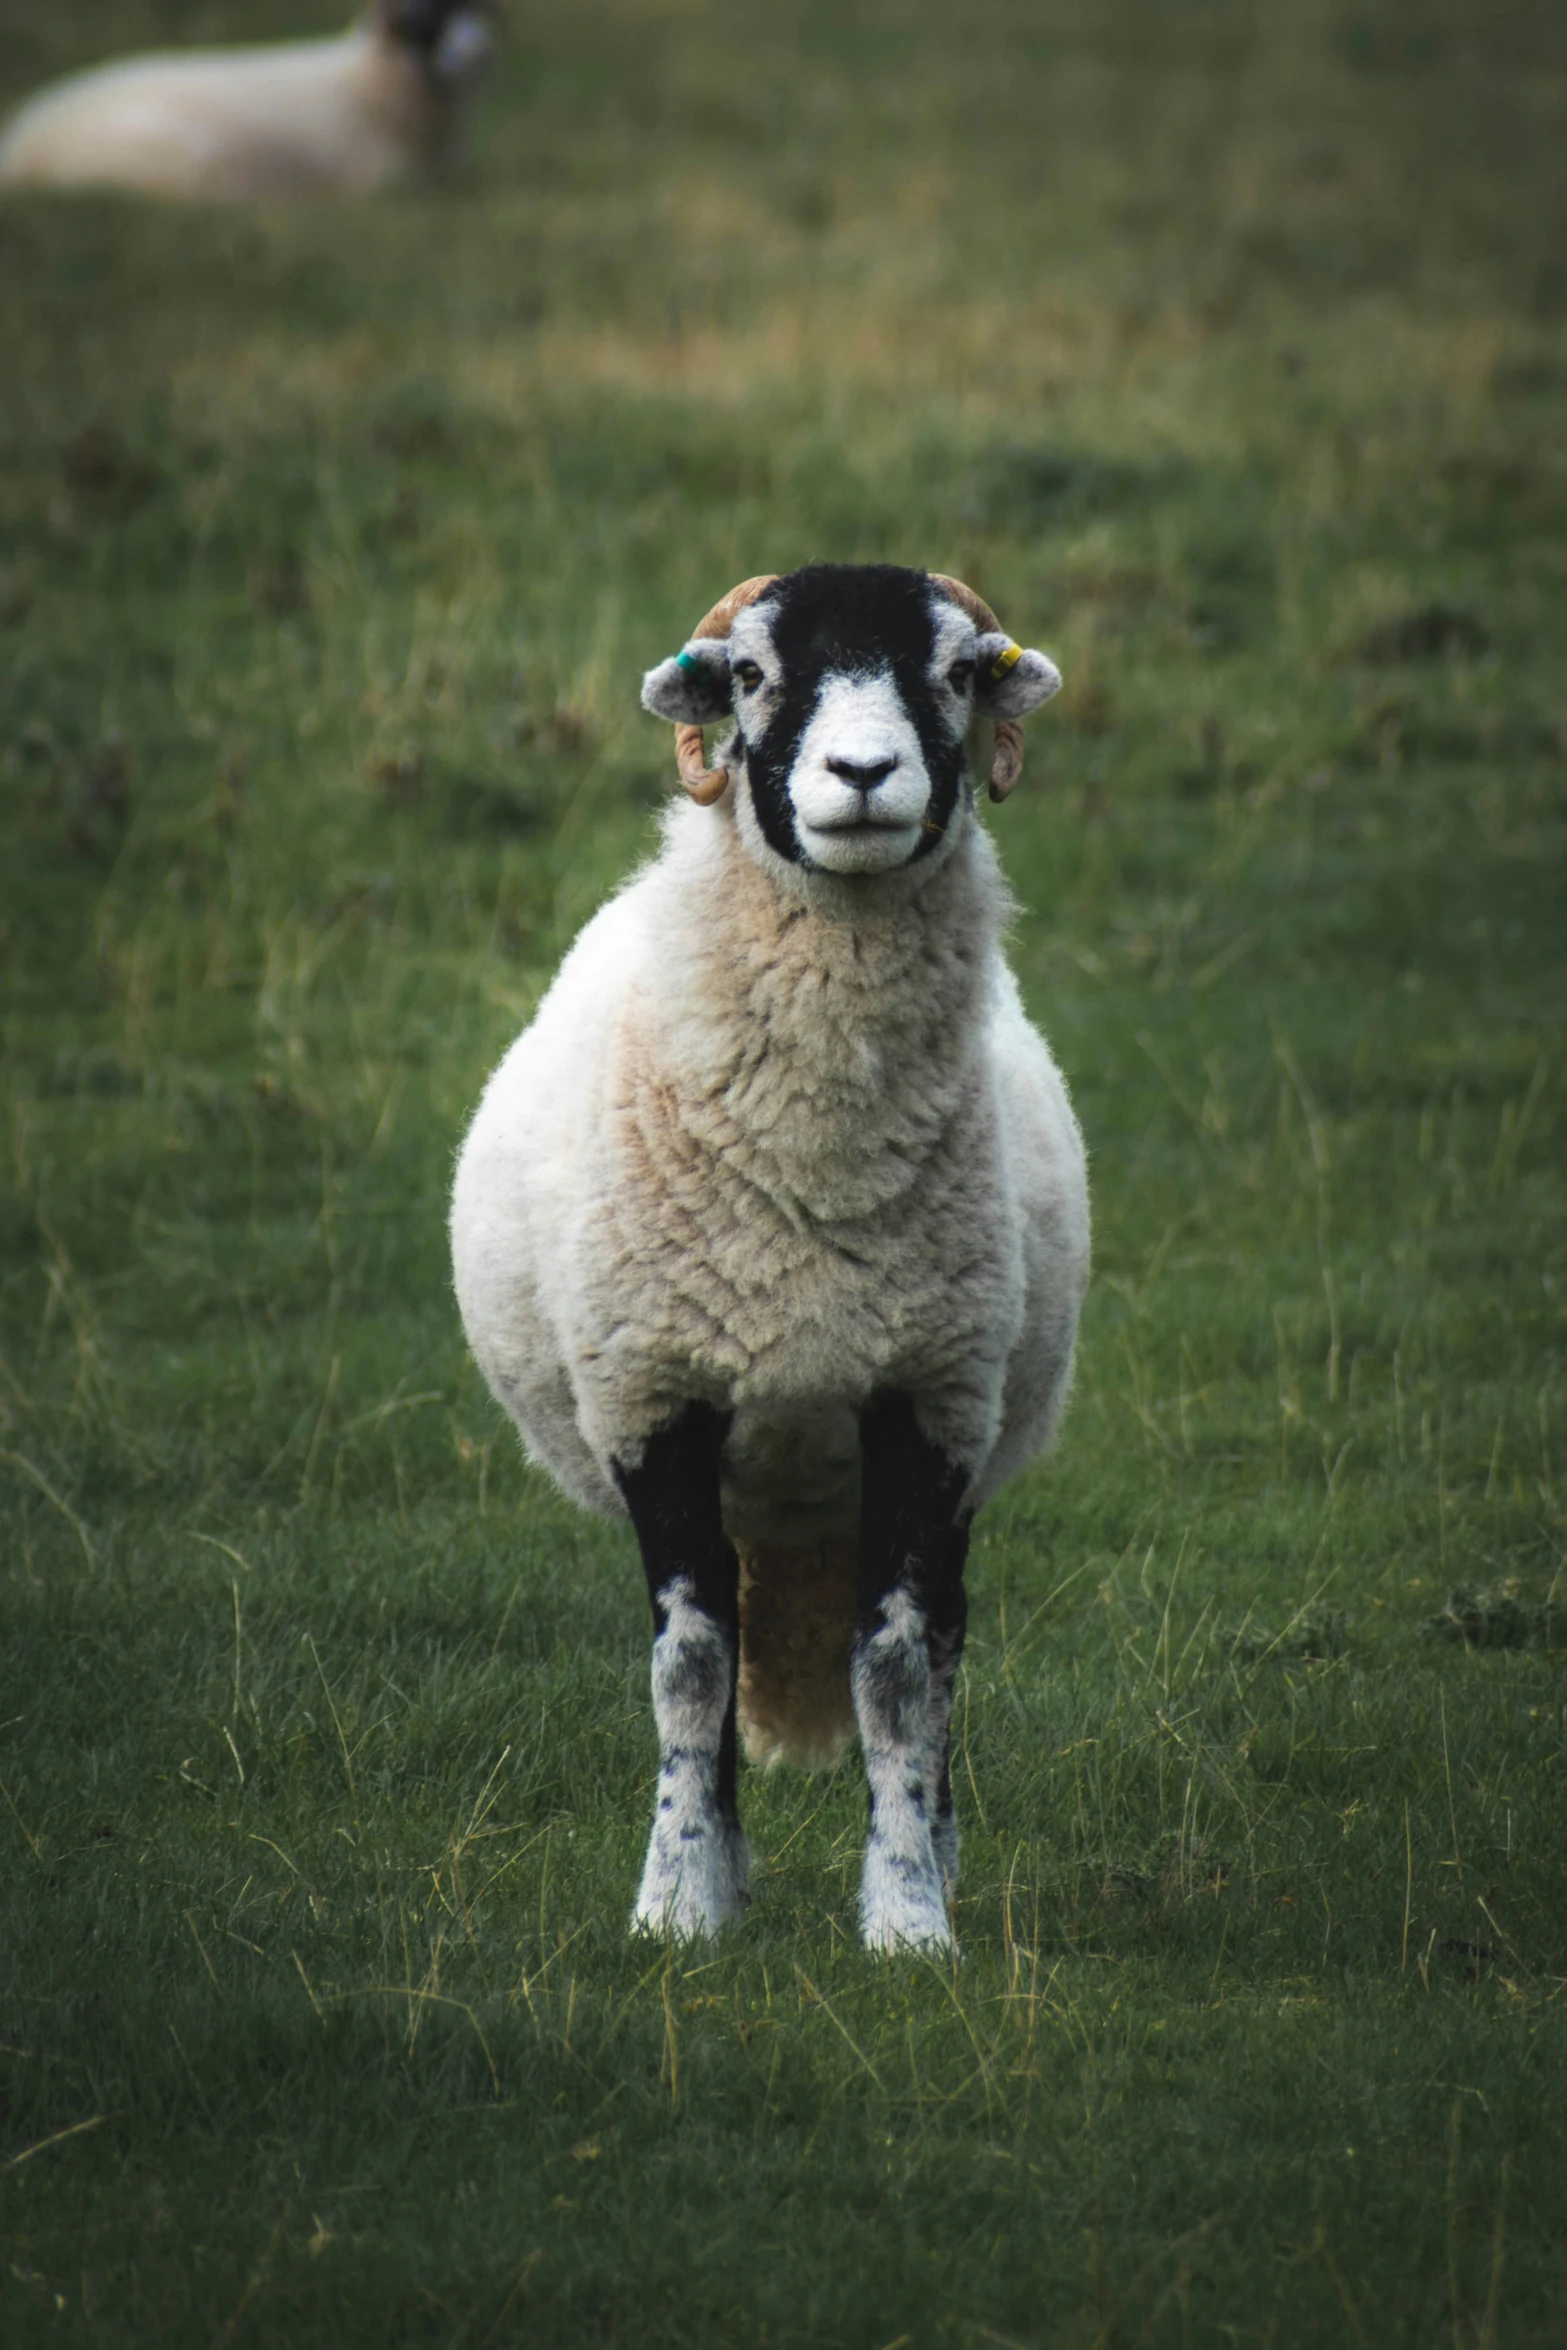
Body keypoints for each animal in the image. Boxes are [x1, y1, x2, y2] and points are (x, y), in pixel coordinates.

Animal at [453, 559, 1090, 1955]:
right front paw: (680, 1901)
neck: (817, 1154)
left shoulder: (931, 1407)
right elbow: (690, 1670)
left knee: (942, 1647)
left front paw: (906, 1918)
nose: (861, 772)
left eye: (953, 671)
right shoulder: (653, 1401)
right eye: (749, 675)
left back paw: (935, 1852)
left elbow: (898, 1673)